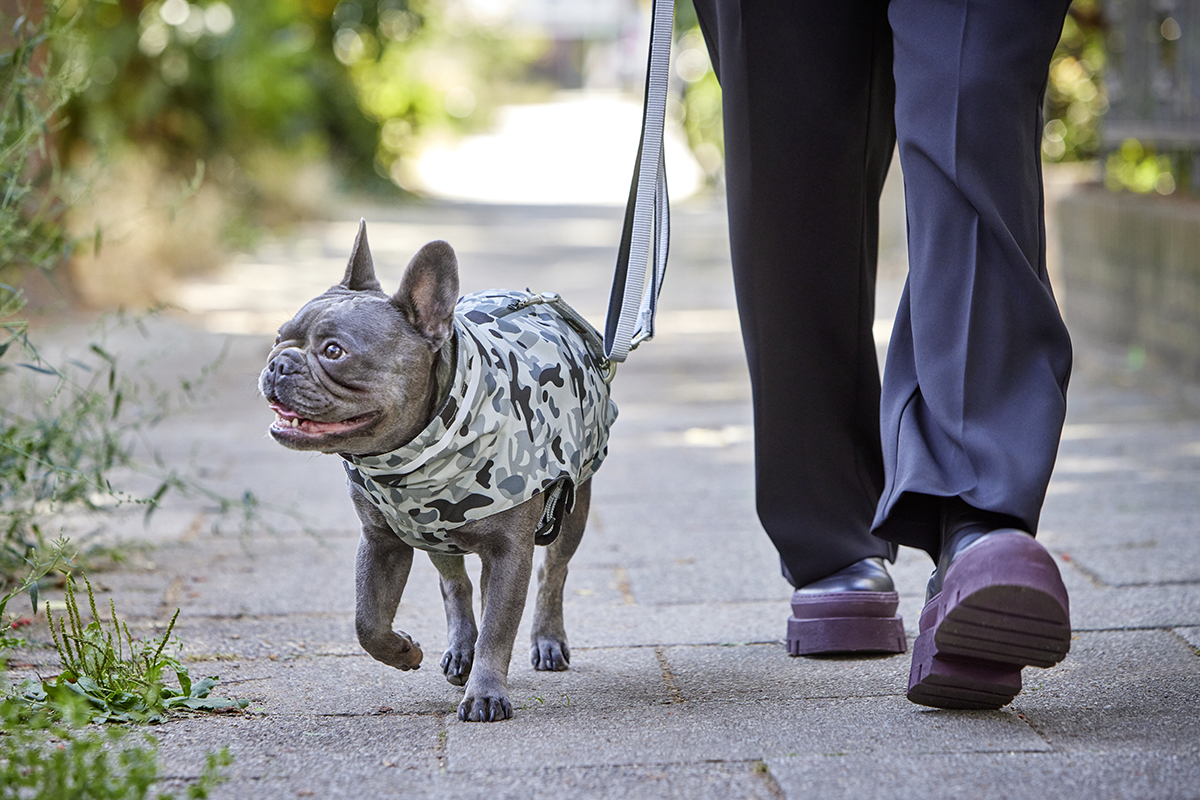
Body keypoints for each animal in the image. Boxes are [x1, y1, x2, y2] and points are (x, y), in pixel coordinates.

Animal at [261, 221, 619, 724]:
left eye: (334, 351)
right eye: (278, 338)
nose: (278, 363)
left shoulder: (510, 554)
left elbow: (499, 627)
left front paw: (485, 694)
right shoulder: (382, 541)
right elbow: (367, 621)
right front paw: (403, 651)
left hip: (572, 509)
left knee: (553, 572)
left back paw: (546, 640)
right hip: (432, 536)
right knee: (455, 583)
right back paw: (460, 649)